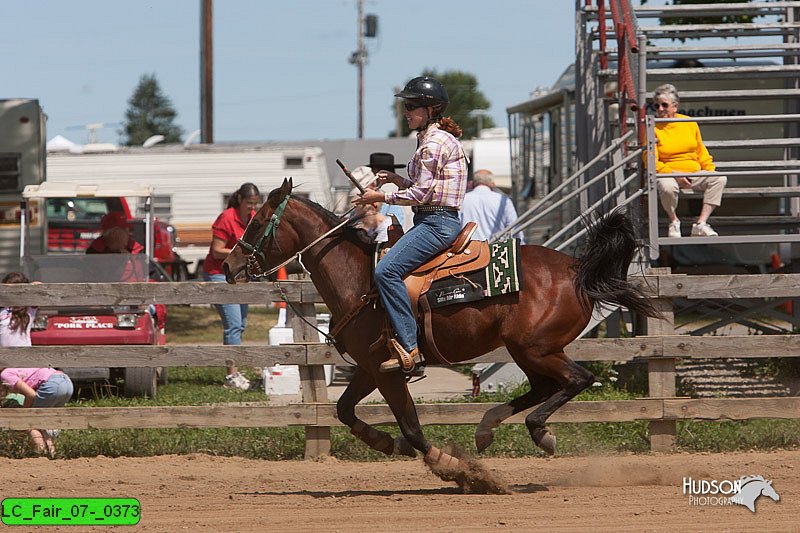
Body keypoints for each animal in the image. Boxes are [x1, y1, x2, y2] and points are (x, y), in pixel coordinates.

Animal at [223, 178, 656, 474]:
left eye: (257, 221)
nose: (228, 266)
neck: (360, 279)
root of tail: (577, 269)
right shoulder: (371, 366)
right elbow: (345, 410)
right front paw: (386, 443)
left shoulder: (390, 371)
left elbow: (412, 426)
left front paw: (447, 464)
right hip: (529, 350)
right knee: (545, 387)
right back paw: (488, 428)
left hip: (537, 348)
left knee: (577, 379)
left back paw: (538, 431)